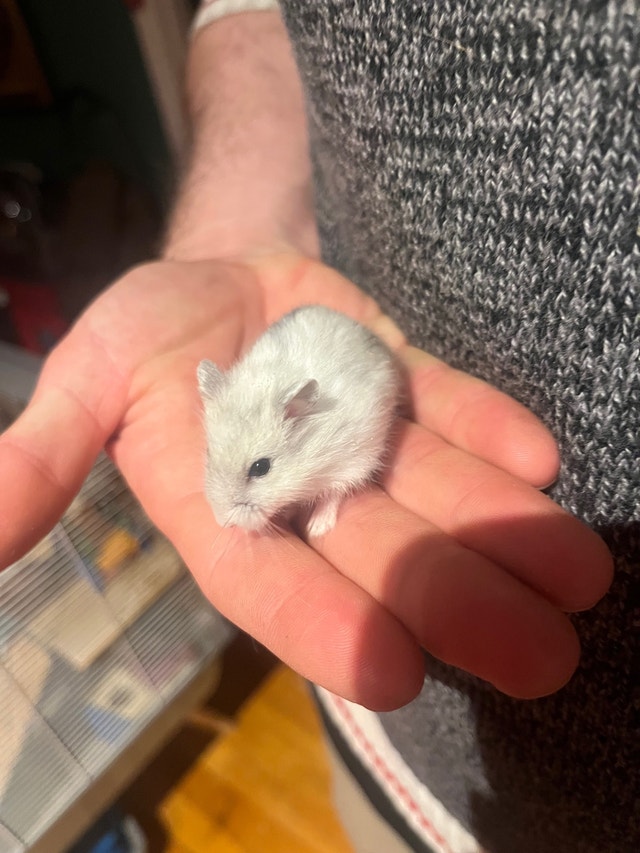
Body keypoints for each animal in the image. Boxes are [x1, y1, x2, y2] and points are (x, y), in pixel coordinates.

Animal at [197, 305, 401, 537]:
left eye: (261, 467)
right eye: (208, 452)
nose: (222, 522)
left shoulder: (353, 463)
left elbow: (333, 494)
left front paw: (317, 529)